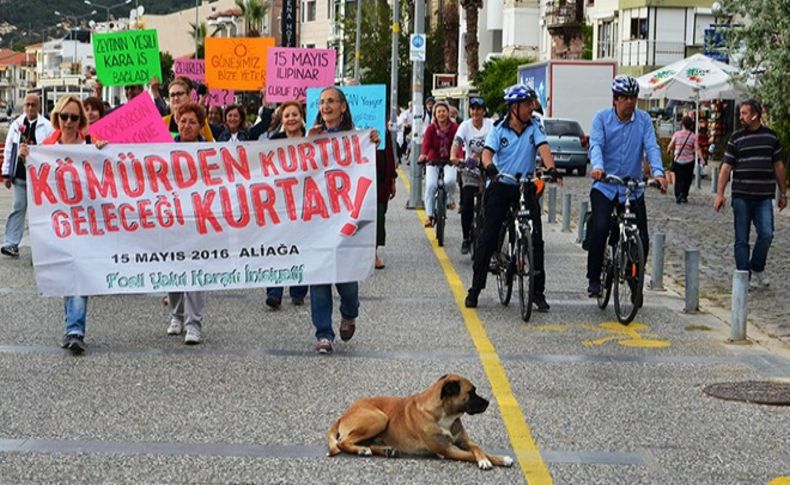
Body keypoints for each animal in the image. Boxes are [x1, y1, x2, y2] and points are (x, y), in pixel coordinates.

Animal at [326, 372, 516, 466]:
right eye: (471, 393)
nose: (488, 402)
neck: (445, 415)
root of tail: (343, 415)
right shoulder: (447, 449)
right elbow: (470, 455)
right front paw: (485, 461)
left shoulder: (463, 440)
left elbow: (477, 448)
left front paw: (499, 458)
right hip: (379, 418)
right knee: (343, 442)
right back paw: (361, 450)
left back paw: (383, 449)